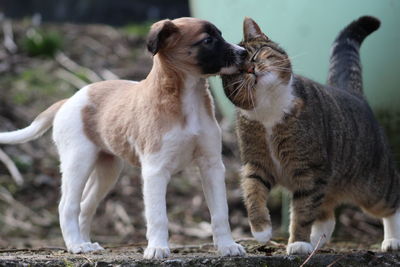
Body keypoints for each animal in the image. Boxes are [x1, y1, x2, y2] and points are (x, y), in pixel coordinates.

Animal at [0, 17, 247, 260]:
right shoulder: (155, 170)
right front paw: (157, 248)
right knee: (67, 206)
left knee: (85, 205)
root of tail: (68, 100)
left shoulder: (211, 165)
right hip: (78, 161)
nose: (244, 52)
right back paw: (76, 245)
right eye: (208, 40)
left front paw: (227, 246)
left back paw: (87, 243)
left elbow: (220, 212)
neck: (186, 100)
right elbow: (157, 215)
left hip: (107, 169)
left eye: (220, 35)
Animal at [222, 16, 400, 255]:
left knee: (391, 202)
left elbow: (303, 212)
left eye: (256, 53)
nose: (250, 68)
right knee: (327, 218)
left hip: (373, 186)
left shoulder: (309, 170)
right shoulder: (256, 163)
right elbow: (253, 193)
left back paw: (392, 240)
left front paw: (298, 242)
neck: (269, 107)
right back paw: (315, 242)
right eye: (237, 71)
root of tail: (354, 93)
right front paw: (261, 230)